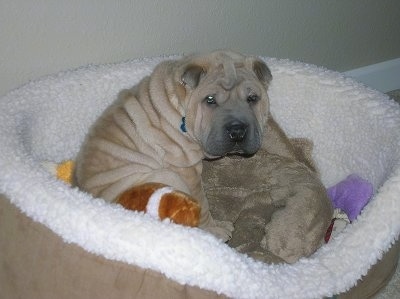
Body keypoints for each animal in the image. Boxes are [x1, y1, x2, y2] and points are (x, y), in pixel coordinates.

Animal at [74, 50, 332, 252]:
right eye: (210, 100)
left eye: (252, 98)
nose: (237, 130)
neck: (179, 103)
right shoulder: (187, 170)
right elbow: (203, 204)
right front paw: (217, 228)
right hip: (166, 176)